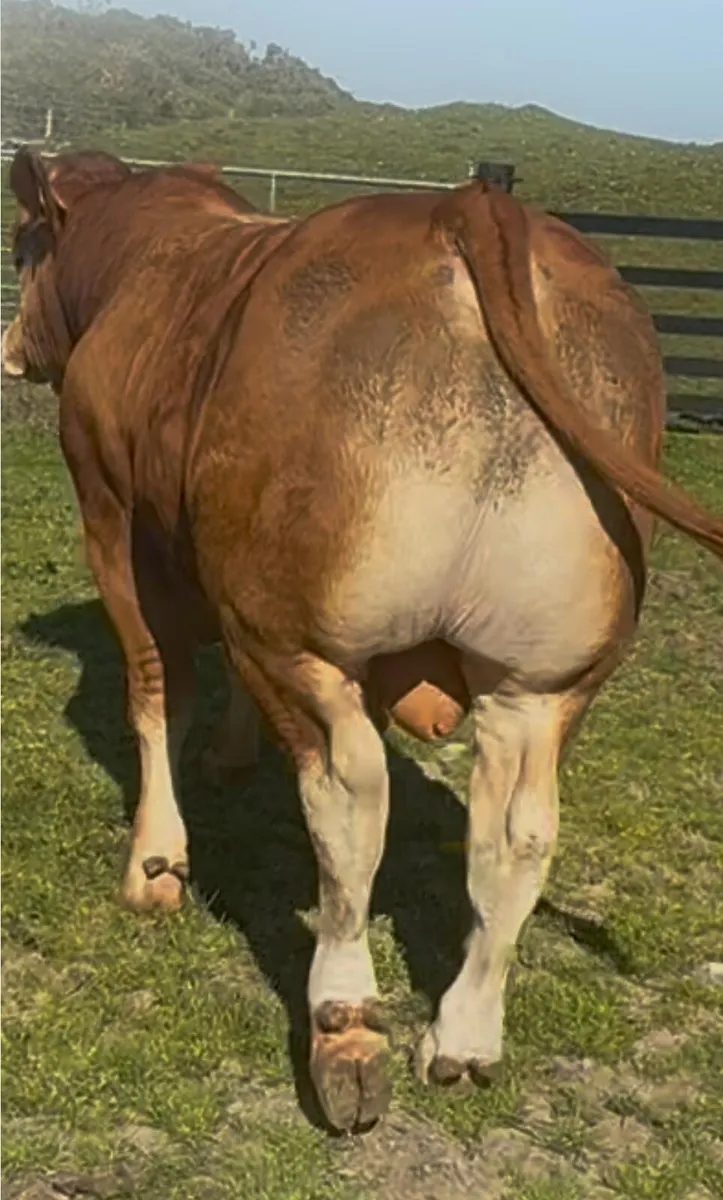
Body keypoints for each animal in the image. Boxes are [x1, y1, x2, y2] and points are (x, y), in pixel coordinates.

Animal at [3, 147, 722, 1133]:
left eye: (22, 245)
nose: (10, 345)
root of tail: (472, 211)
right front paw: (231, 756)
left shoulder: (113, 518)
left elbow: (156, 689)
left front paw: (155, 862)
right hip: (542, 679)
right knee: (518, 831)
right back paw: (462, 1038)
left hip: (301, 635)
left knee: (349, 800)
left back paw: (344, 1031)